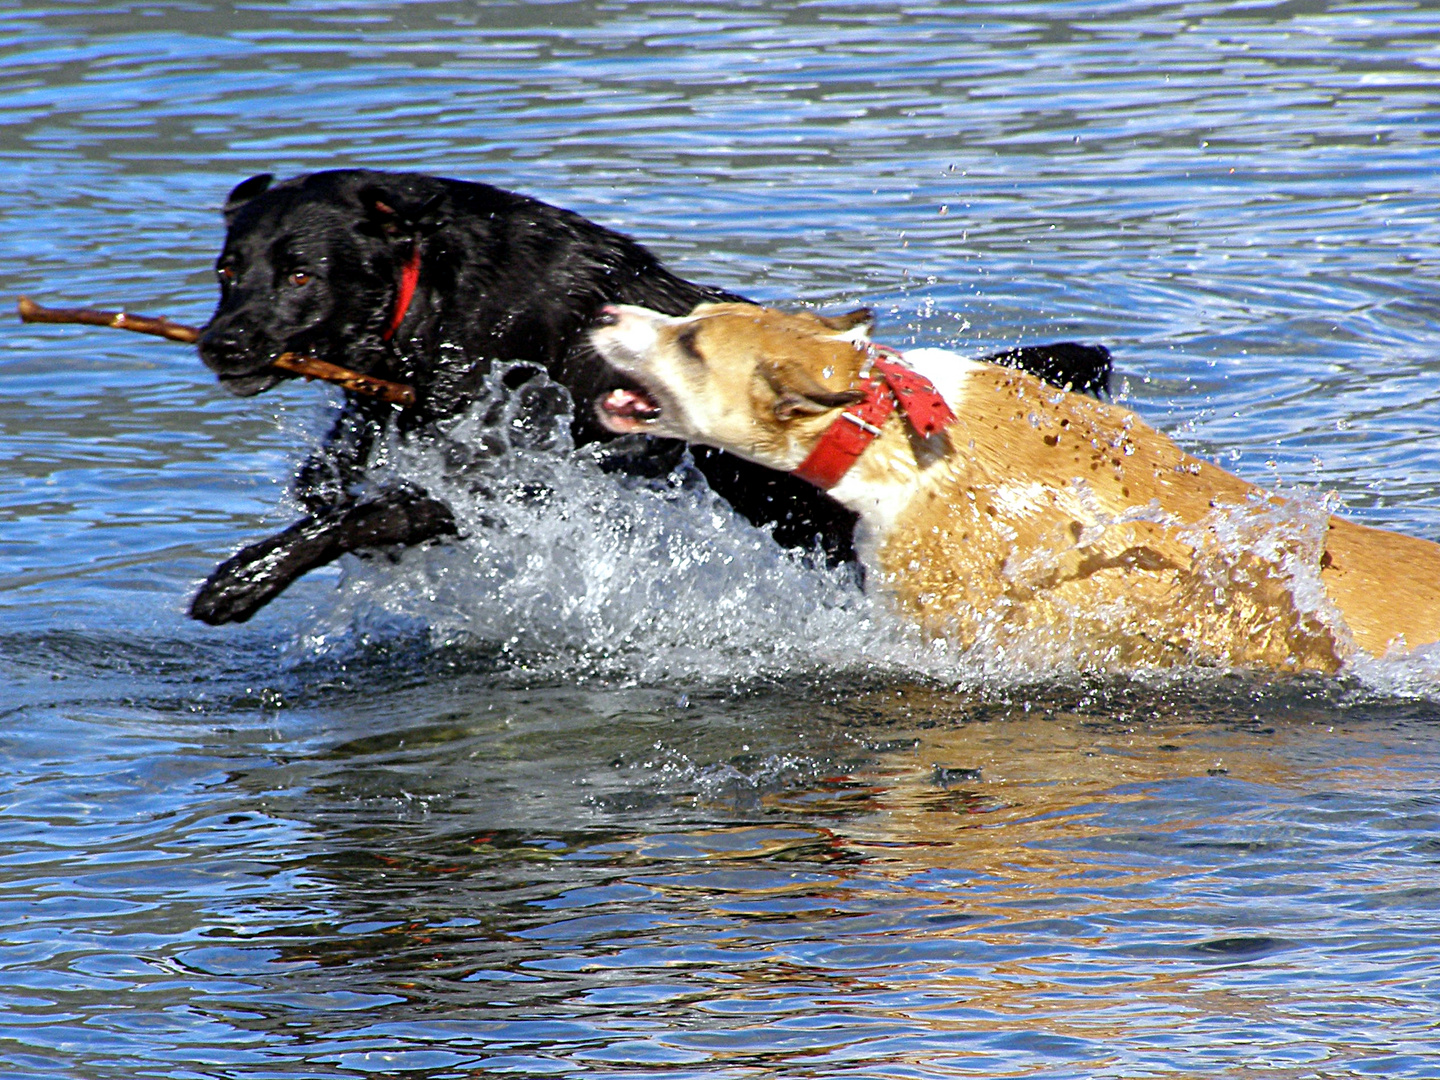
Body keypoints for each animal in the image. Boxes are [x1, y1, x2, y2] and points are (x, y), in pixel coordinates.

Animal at [191, 169, 1111, 624]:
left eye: (301, 274)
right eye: (227, 269)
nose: (219, 343)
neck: (439, 295)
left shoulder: (525, 473)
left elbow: (367, 514)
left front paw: (245, 578)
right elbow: (335, 475)